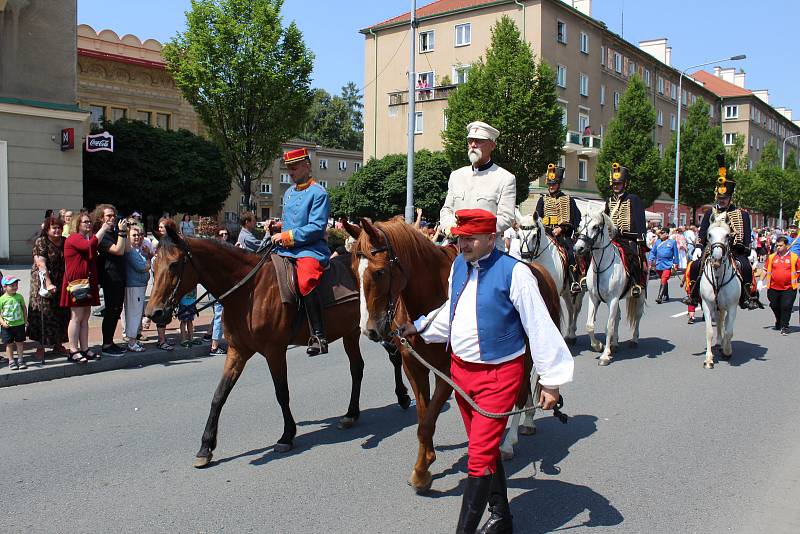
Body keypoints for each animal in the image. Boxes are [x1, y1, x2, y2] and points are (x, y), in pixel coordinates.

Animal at [143, 226, 404, 468]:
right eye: (153, 265)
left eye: (174, 264)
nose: (154, 313)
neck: (249, 291)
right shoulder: (237, 351)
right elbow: (219, 395)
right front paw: (205, 447)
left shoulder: (274, 350)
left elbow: (281, 392)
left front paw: (287, 435)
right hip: (351, 333)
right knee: (357, 368)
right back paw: (351, 414)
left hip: (379, 327)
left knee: (395, 355)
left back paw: (402, 396)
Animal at [346, 219, 564, 494]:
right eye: (353, 271)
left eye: (379, 272)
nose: (369, 330)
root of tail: (538, 271)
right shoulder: (414, 367)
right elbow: (423, 417)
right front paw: (425, 461)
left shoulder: (447, 373)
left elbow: (426, 423)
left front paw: (421, 472)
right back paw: (526, 424)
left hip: (525, 357)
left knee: (520, 393)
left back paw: (509, 442)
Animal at [516, 211, 584, 346]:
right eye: (518, 236)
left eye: (534, 236)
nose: (525, 257)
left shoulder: (554, 292)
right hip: (566, 291)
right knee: (570, 308)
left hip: (579, 290)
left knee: (576, 308)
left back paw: (572, 335)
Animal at [576, 211, 644, 366]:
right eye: (580, 225)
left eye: (595, 227)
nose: (578, 248)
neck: (601, 266)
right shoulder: (594, 298)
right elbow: (590, 325)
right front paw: (598, 346)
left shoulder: (612, 300)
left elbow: (609, 326)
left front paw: (605, 355)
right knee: (618, 316)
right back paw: (615, 344)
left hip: (640, 294)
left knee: (637, 316)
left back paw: (634, 340)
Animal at [696, 218, 740, 368]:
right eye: (709, 234)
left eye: (727, 236)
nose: (716, 259)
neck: (718, 276)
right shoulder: (707, 304)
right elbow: (709, 331)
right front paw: (708, 359)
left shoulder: (732, 306)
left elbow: (729, 331)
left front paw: (727, 351)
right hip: (717, 306)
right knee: (720, 320)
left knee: (724, 323)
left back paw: (723, 345)